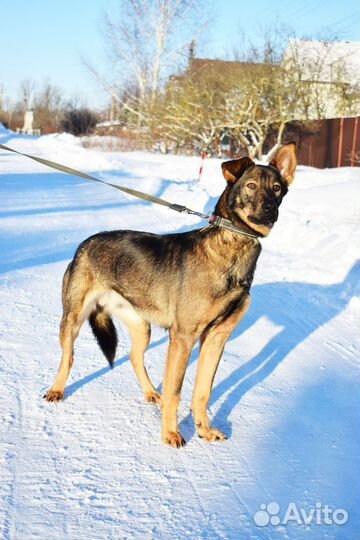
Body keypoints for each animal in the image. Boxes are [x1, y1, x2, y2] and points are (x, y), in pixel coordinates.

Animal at [44, 142, 298, 448]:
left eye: (277, 188)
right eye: (250, 185)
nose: (270, 209)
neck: (232, 245)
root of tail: (85, 243)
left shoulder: (216, 338)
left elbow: (202, 391)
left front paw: (204, 431)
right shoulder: (184, 337)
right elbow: (176, 392)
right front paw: (170, 433)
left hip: (142, 327)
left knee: (134, 356)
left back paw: (152, 393)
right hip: (73, 318)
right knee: (68, 356)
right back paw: (57, 389)